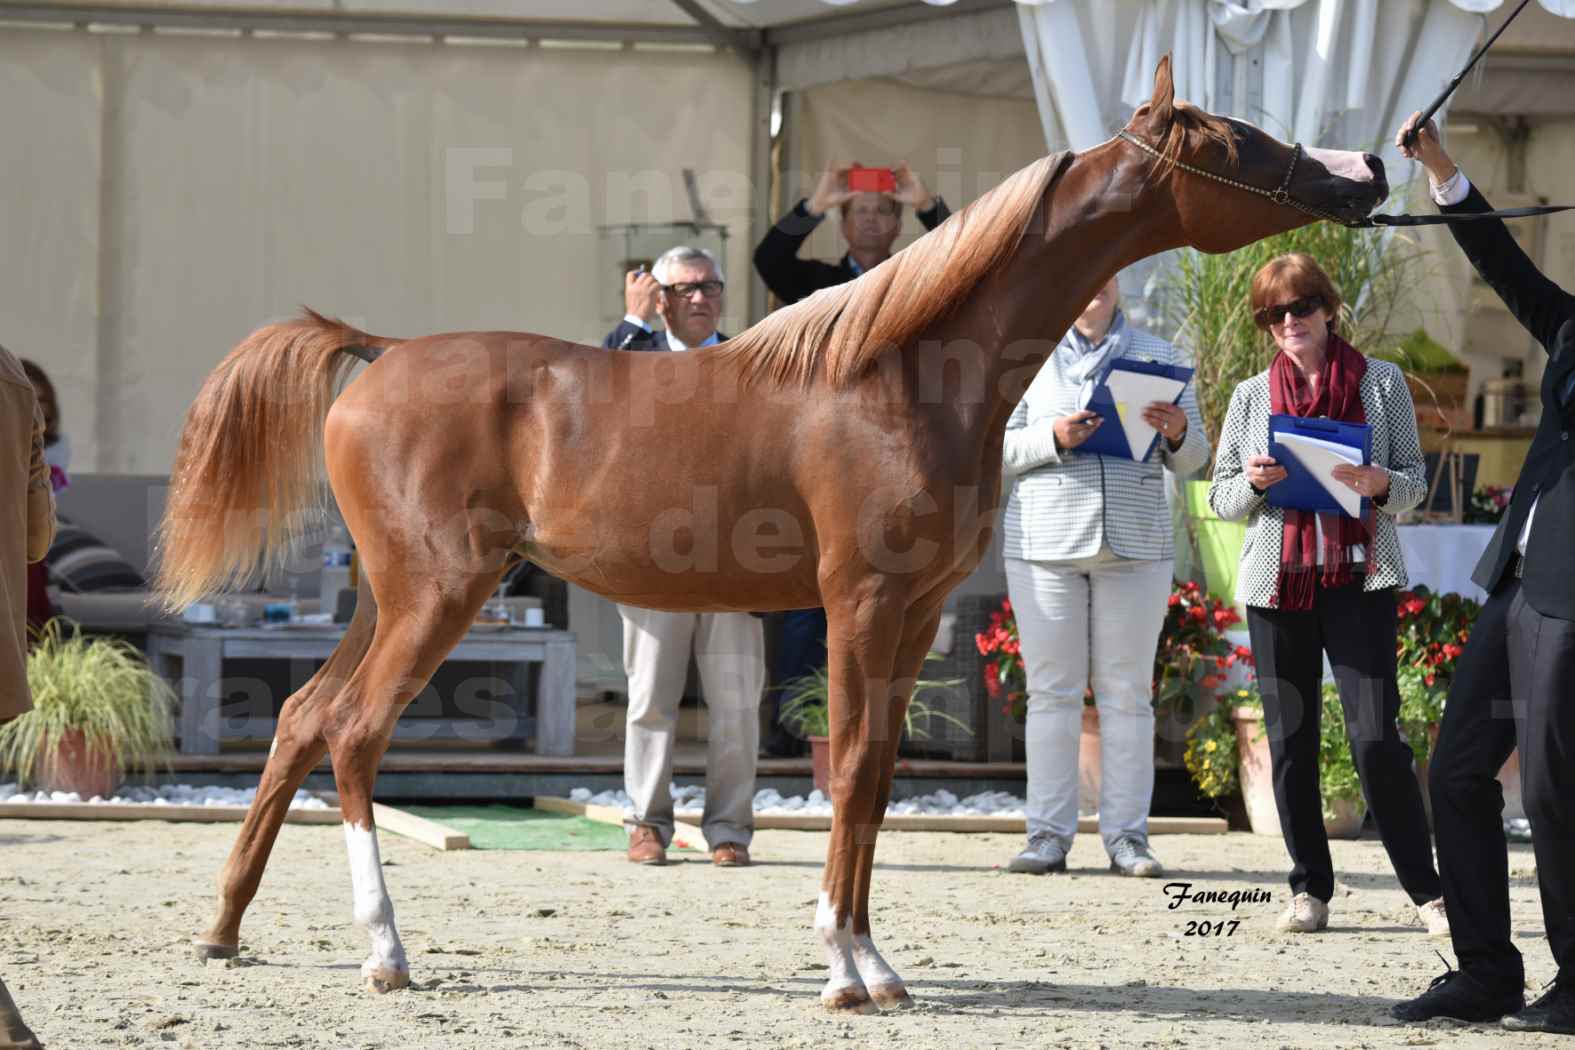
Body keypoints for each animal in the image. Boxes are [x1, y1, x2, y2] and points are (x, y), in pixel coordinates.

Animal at [159, 55, 1386, 1007]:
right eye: (1235, 137)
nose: (1364, 172)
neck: (899, 375)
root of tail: (379, 354)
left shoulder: (913, 614)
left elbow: (878, 772)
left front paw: (872, 961)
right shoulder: (861, 604)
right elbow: (846, 766)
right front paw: (845, 968)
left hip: (386, 596)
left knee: (302, 721)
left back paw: (225, 931)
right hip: (436, 596)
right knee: (354, 734)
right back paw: (386, 953)